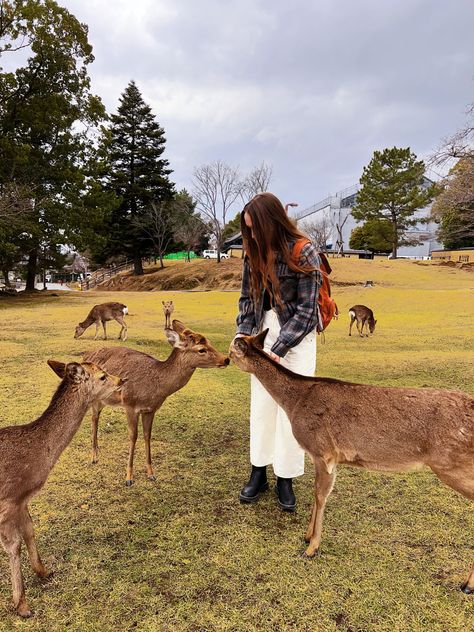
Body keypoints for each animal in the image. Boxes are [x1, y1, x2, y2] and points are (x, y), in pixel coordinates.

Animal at [0, 360, 124, 616]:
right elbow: (13, 546)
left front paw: (44, 571)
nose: (121, 380)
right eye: (103, 376)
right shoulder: (8, 499)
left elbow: (30, 529)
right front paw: (22, 605)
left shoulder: (23, 498)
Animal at [79, 318, 230, 486]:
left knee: (96, 417)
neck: (155, 388)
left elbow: (147, 435)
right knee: (93, 418)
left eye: (210, 342)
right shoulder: (130, 404)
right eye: (201, 349)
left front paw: (151, 473)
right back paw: (94, 457)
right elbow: (133, 436)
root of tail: (85, 357)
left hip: (103, 400)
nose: (226, 359)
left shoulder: (151, 409)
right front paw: (129, 478)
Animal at [231, 328, 474, 596]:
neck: (294, 403)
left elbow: (320, 495)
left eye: (232, 351)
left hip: (451, 463)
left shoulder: (323, 451)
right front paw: (306, 536)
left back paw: (468, 584)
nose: (225, 360)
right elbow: (318, 494)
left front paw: (311, 547)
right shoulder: (328, 458)